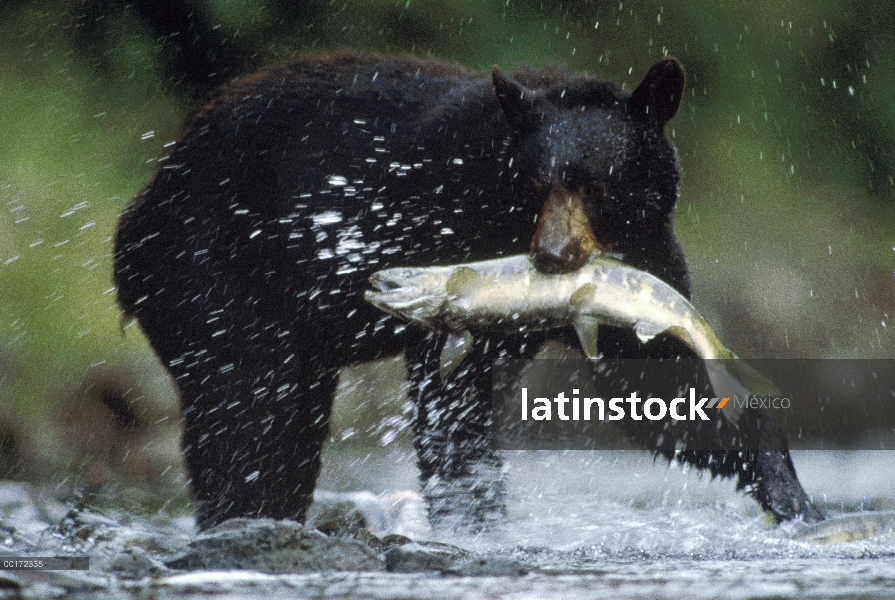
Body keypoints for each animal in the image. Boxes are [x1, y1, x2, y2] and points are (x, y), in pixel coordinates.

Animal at [114, 52, 824, 528]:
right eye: (535, 183)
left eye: (593, 182)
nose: (551, 258)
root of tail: (148, 195)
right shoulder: (449, 227)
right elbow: (453, 402)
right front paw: (477, 524)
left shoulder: (646, 268)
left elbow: (661, 390)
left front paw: (791, 495)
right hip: (213, 275)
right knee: (249, 415)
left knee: (282, 427)